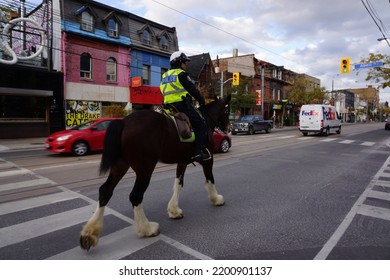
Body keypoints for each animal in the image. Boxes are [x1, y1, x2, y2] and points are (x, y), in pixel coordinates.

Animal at [79, 95, 232, 250]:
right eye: (227, 110)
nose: (229, 128)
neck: (205, 120)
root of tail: (124, 121)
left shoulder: (182, 162)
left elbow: (178, 184)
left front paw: (174, 210)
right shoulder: (208, 159)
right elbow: (210, 179)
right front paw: (216, 199)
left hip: (120, 166)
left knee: (105, 191)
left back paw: (89, 234)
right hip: (145, 169)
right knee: (135, 196)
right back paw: (147, 228)